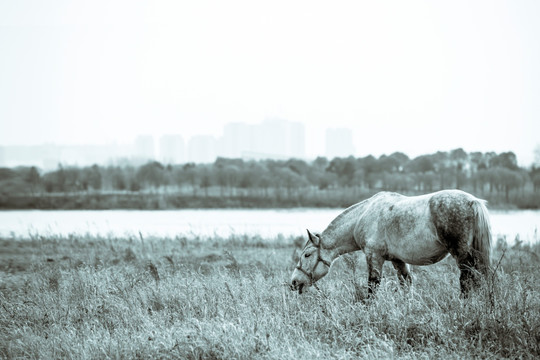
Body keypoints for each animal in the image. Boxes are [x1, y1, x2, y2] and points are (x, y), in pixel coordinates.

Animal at [292, 190, 494, 296]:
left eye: (307, 255)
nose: (294, 282)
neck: (363, 216)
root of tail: (473, 201)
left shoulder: (374, 257)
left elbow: (372, 286)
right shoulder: (398, 261)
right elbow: (406, 284)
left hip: (463, 256)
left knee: (467, 281)